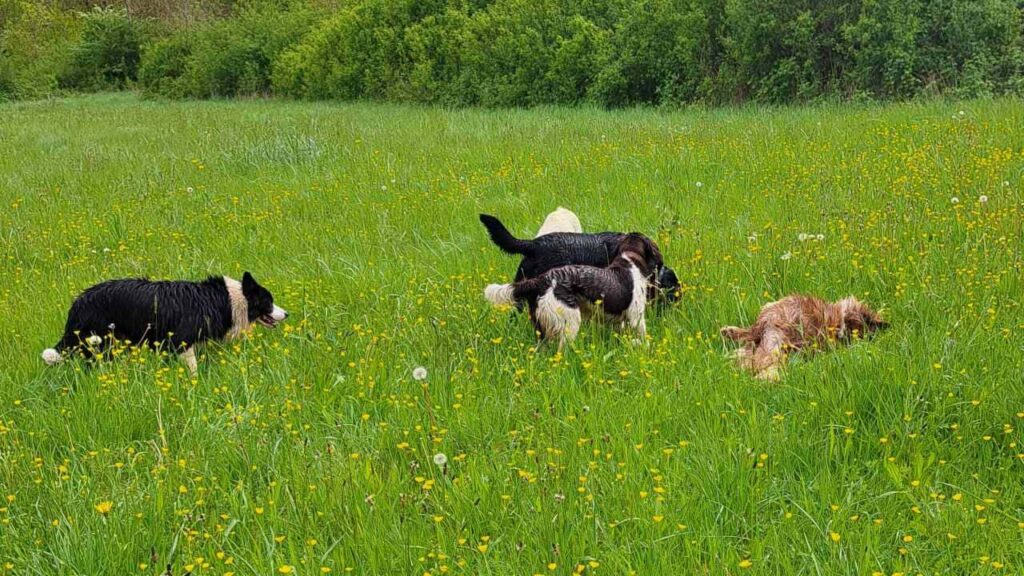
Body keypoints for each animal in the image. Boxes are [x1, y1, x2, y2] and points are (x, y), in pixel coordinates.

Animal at [40, 272, 286, 375]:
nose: (287, 313)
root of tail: (78, 303)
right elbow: (193, 369)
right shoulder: (180, 342)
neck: (224, 300)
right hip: (100, 341)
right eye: (269, 301)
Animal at [481, 230, 659, 348]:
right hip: (570, 321)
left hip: (540, 327)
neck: (629, 261)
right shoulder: (636, 317)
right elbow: (643, 338)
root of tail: (541, 280)